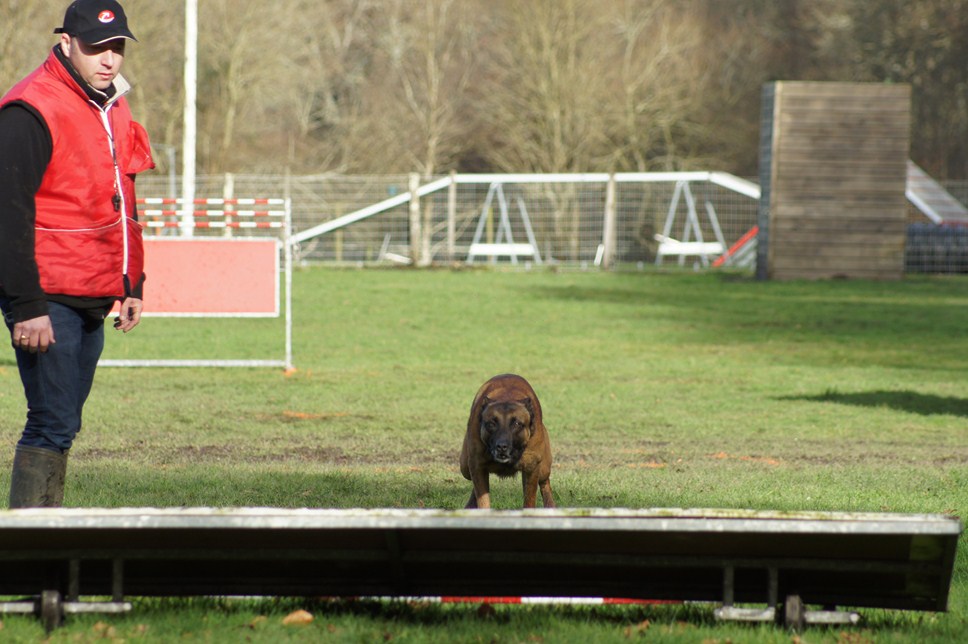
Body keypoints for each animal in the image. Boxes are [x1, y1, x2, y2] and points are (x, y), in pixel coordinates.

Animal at [460, 372, 556, 508]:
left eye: (517, 424)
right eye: (491, 424)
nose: (501, 446)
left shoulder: (532, 467)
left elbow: (529, 500)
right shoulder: (477, 466)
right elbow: (483, 500)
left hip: (543, 468)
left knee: (544, 483)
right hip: (465, 467)